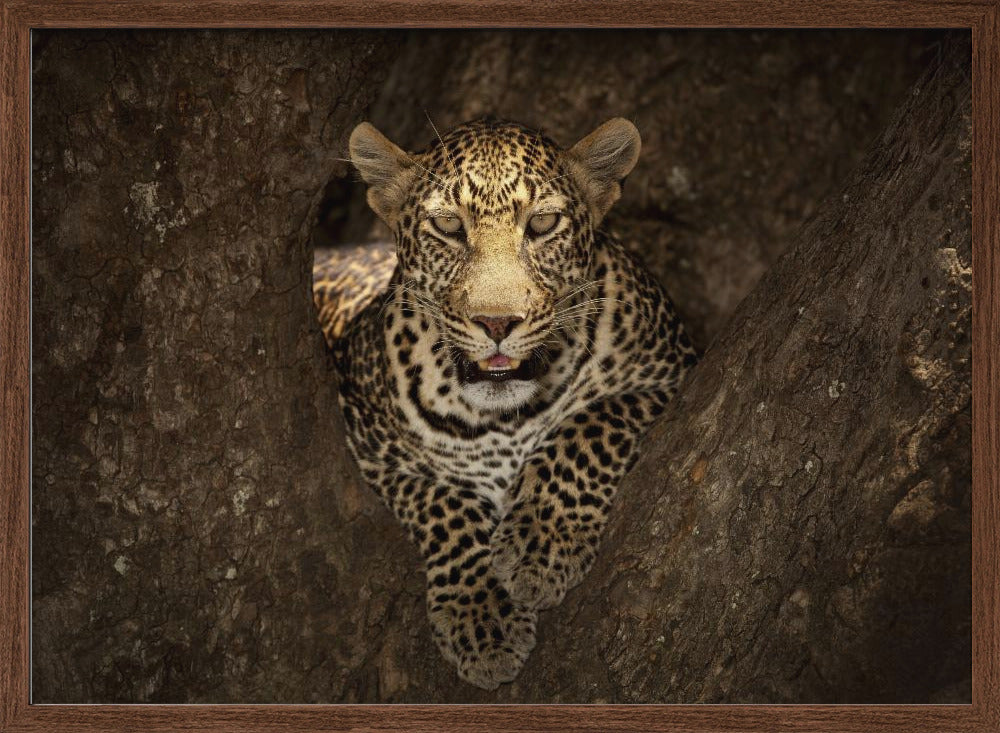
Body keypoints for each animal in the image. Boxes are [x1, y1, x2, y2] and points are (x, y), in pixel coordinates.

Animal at [315, 116, 697, 690]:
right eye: (448, 226)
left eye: (542, 223)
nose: (497, 323)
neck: (504, 419)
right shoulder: (369, 445)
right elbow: (443, 503)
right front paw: (482, 617)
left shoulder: (671, 371)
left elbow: (588, 426)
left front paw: (542, 543)